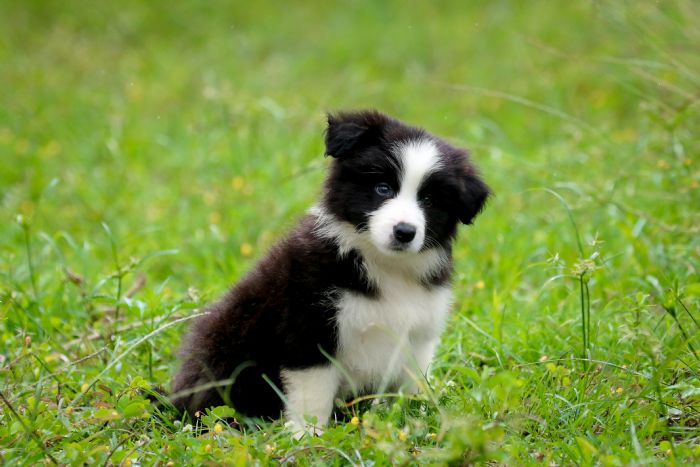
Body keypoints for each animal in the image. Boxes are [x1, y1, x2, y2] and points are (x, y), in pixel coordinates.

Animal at [172, 109, 490, 436]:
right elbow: (312, 393)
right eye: (383, 188)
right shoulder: (308, 327)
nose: (404, 231)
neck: (384, 265)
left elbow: (412, 386)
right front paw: (308, 436)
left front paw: (420, 423)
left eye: (429, 200)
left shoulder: (420, 334)